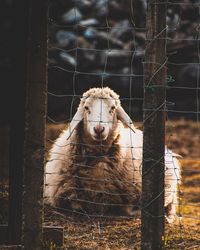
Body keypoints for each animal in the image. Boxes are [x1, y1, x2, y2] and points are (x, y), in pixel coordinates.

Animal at [44, 86, 180, 223]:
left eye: (113, 108)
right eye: (86, 108)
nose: (99, 129)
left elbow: (127, 208)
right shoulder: (63, 195)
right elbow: (76, 205)